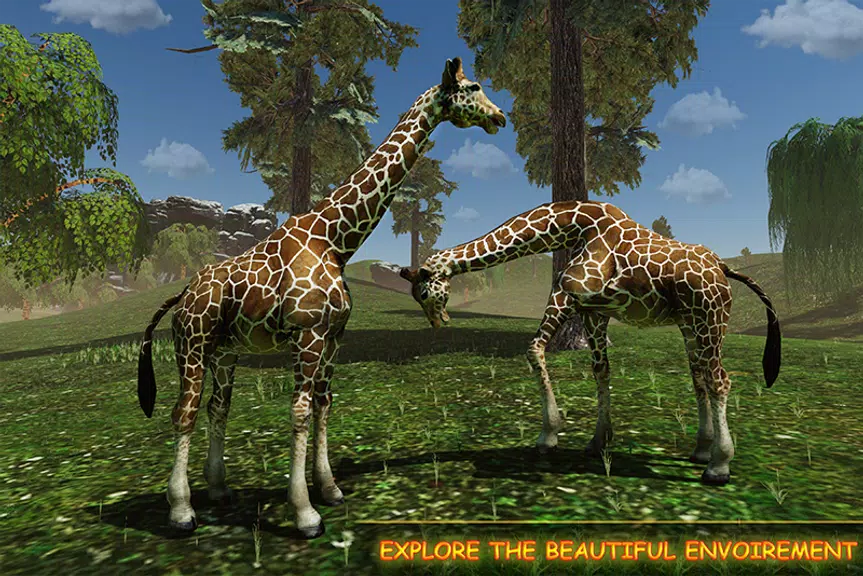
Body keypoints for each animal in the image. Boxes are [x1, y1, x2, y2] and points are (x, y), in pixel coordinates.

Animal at [136, 57, 506, 538]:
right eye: (473, 87)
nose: (500, 117)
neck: (335, 239)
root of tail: (181, 295)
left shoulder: (333, 336)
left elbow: (323, 404)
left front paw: (329, 490)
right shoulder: (307, 334)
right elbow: (298, 411)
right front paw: (305, 514)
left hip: (225, 352)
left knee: (219, 408)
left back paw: (218, 490)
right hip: (193, 346)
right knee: (184, 411)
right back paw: (182, 511)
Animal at [400, 200, 781, 485]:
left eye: (423, 292)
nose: (438, 322)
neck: (573, 225)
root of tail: (723, 268)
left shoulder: (567, 294)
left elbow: (534, 348)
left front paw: (549, 435)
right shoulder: (594, 311)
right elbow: (601, 370)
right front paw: (598, 441)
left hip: (709, 317)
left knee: (720, 380)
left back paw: (718, 466)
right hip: (691, 324)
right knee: (699, 377)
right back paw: (701, 450)